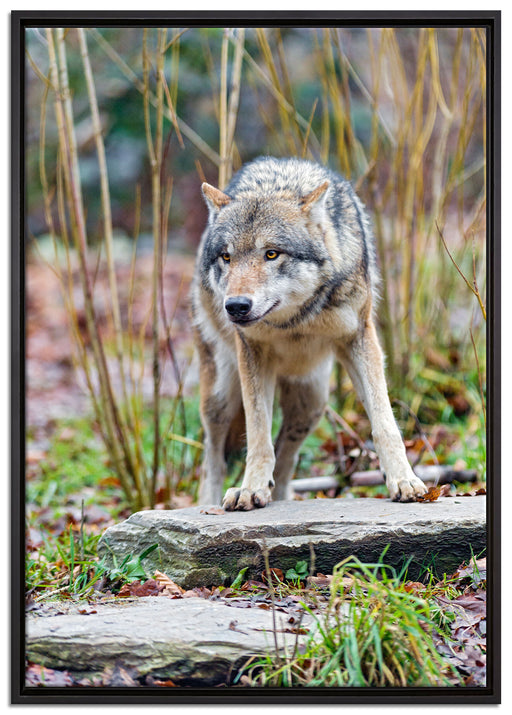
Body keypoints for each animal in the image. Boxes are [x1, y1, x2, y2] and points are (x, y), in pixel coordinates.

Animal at [190, 156, 427, 511]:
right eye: (227, 257)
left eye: (271, 253)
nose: (235, 306)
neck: (296, 322)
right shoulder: (252, 354)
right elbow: (258, 434)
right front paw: (250, 488)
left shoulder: (360, 340)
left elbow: (385, 423)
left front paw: (404, 481)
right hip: (220, 397)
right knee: (213, 459)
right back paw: (211, 502)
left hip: (311, 404)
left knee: (286, 461)